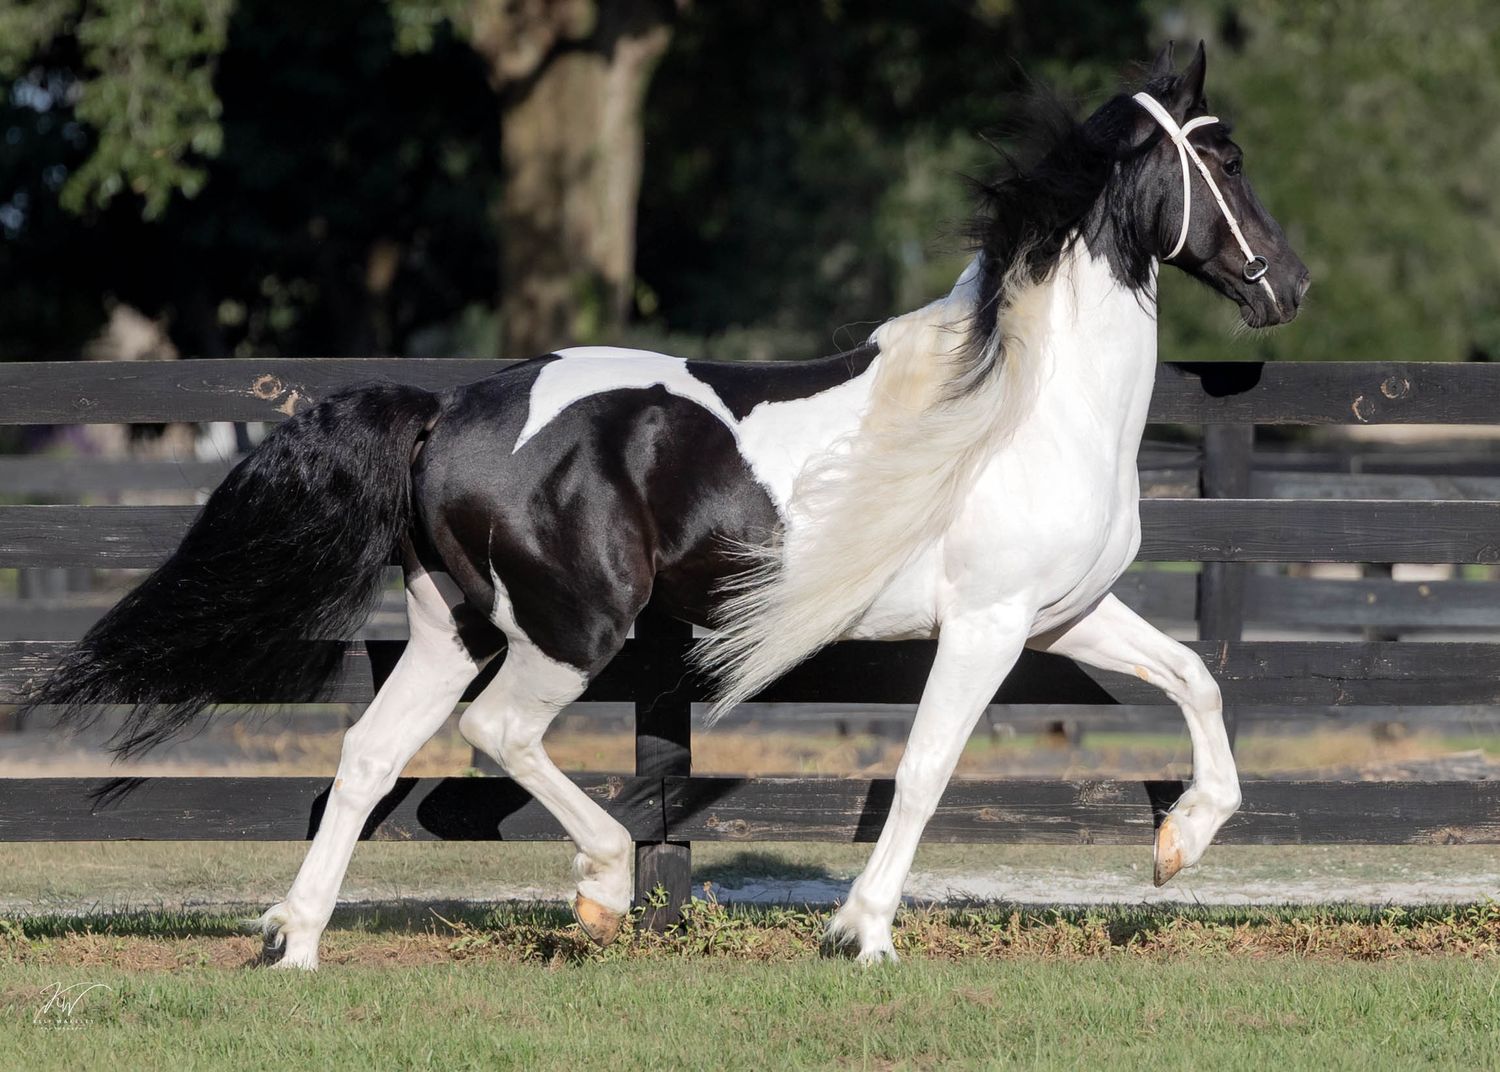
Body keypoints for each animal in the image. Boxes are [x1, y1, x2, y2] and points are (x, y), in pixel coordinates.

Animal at [29, 41, 1308, 968]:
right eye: (1231, 160)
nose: (1290, 285)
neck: (1024, 400)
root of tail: (450, 409)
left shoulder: (1063, 613)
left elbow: (1195, 679)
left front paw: (1180, 843)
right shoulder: (988, 625)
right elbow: (925, 769)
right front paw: (862, 932)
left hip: (454, 625)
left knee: (366, 755)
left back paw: (294, 942)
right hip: (570, 627)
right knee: (498, 736)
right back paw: (598, 888)